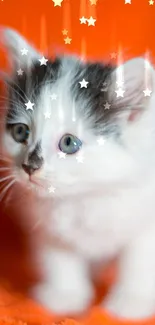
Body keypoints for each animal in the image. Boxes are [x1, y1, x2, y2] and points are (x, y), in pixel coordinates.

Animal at [0, 26, 155, 318]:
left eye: (69, 143)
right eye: (20, 132)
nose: (29, 166)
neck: (87, 196)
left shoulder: (146, 219)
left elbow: (140, 260)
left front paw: (131, 302)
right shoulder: (44, 224)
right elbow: (59, 257)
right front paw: (64, 296)